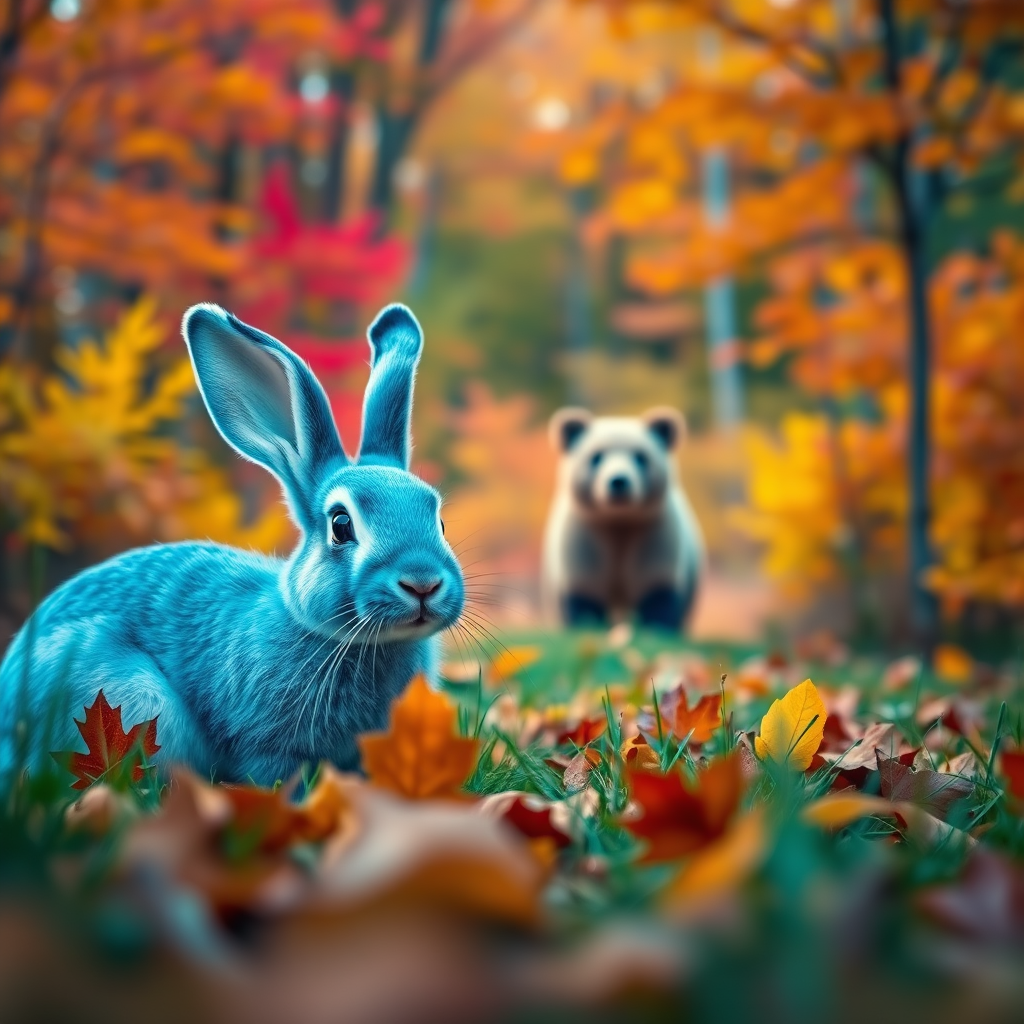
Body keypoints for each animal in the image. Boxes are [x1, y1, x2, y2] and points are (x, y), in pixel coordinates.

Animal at [541, 406, 704, 631]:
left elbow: (657, 589)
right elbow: (583, 592)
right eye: (596, 457)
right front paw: (587, 625)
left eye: (640, 457)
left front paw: (656, 628)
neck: (618, 520)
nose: (618, 481)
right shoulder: (583, 534)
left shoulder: (656, 533)